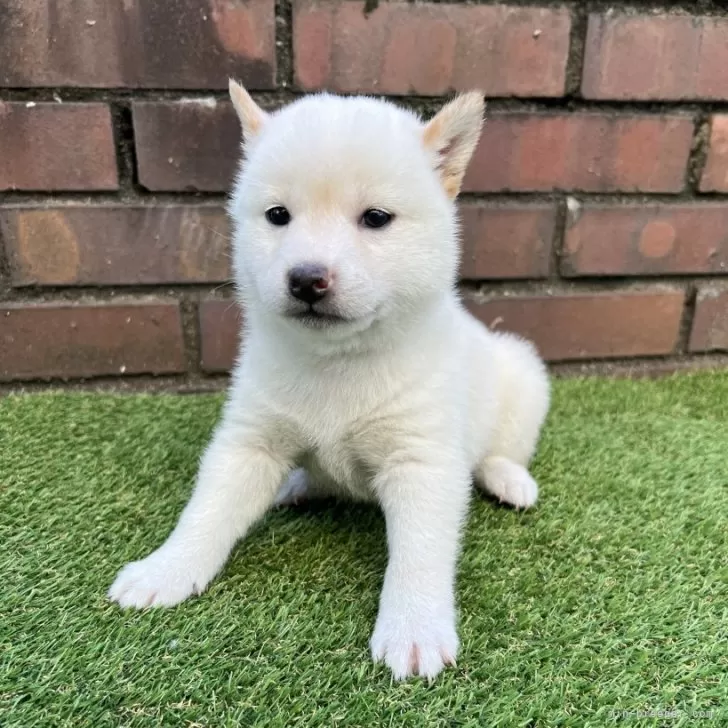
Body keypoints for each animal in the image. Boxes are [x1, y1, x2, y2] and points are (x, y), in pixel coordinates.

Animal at [108, 82, 548, 680]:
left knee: (502, 450)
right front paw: (167, 569)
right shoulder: (248, 441)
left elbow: (420, 552)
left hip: (522, 376)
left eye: (376, 218)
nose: (306, 279)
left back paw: (509, 479)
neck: (337, 361)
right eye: (277, 215)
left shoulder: (422, 460)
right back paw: (295, 486)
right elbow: (207, 510)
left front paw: (414, 628)